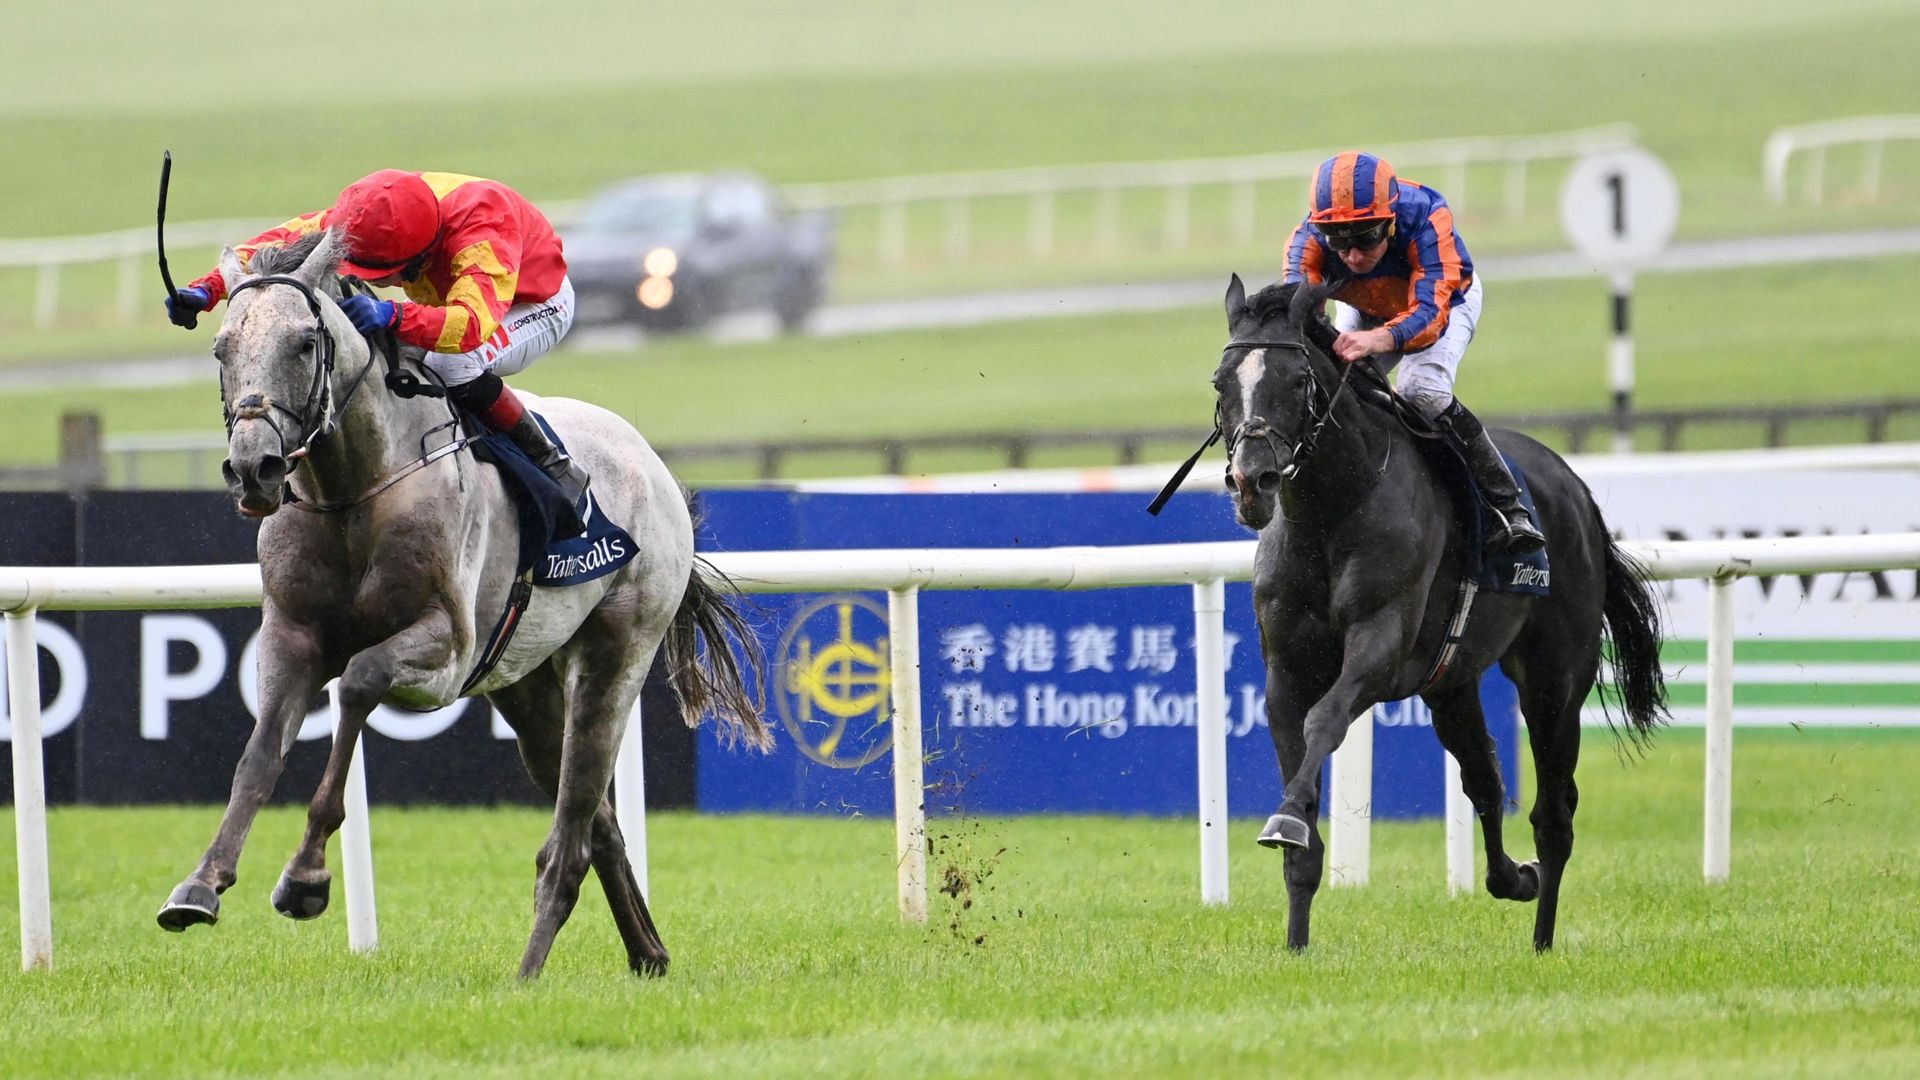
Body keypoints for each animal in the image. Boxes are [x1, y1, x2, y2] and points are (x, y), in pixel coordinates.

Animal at [153, 231, 764, 980]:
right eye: (222, 348)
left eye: (303, 343)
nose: (253, 468)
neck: (356, 490)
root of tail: (653, 464)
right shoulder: (291, 636)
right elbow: (260, 751)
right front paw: (200, 886)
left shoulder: (444, 651)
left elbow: (356, 684)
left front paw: (306, 877)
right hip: (526, 687)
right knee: (600, 825)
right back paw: (646, 952)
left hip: (616, 655)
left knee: (571, 836)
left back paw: (527, 973)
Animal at [1213, 272, 1666, 945]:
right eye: (1222, 383)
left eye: (1296, 381)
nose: (1252, 482)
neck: (1331, 512)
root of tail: (1575, 487)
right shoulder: (1285, 672)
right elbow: (1304, 831)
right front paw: (1294, 940)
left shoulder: (1379, 646)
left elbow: (1327, 720)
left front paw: (1286, 819)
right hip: (1450, 684)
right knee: (1484, 776)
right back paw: (1514, 879)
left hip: (1555, 681)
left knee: (1554, 813)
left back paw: (1543, 940)